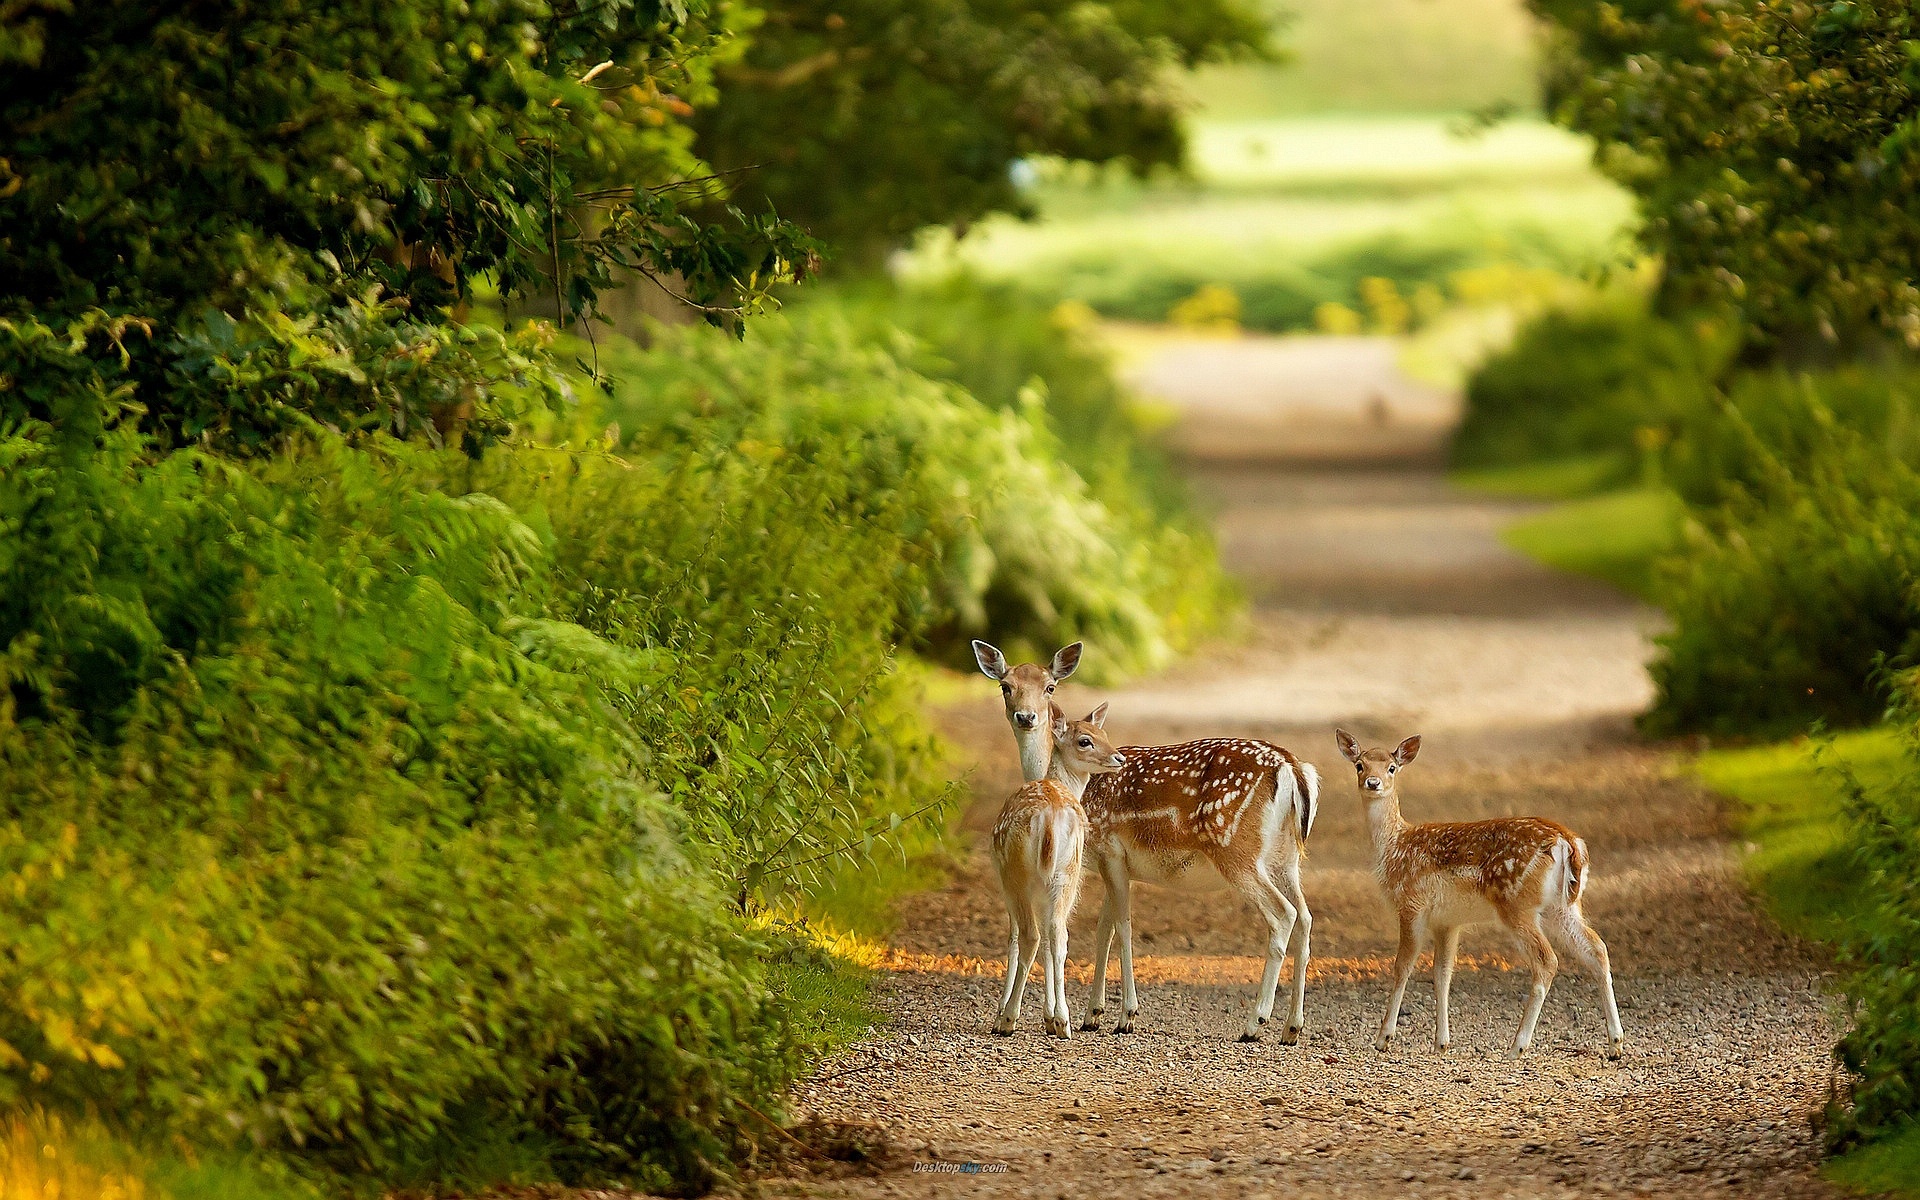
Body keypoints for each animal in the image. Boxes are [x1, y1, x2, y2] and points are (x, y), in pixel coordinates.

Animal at [990, 704, 1127, 1037]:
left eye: (1104, 733)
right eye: (1086, 740)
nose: (1119, 757)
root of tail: (1050, 818)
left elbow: (1015, 938)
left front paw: (1009, 1014)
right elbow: (1053, 942)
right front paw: (1050, 1017)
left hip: (1018, 874)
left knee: (1031, 935)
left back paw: (1009, 1019)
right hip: (1067, 872)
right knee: (1058, 934)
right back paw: (1064, 1021)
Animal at [1334, 728, 1624, 1060]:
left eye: (1392, 768)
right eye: (1360, 765)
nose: (1373, 782)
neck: (1394, 846)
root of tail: (1569, 843)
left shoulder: (1411, 904)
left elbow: (1402, 966)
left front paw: (1383, 1038)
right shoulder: (1447, 920)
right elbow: (1442, 973)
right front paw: (1442, 1042)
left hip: (1516, 903)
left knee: (1546, 960)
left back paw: (1517, 1046)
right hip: (1563, 906)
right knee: (1597, 948)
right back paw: (1615, 1043)